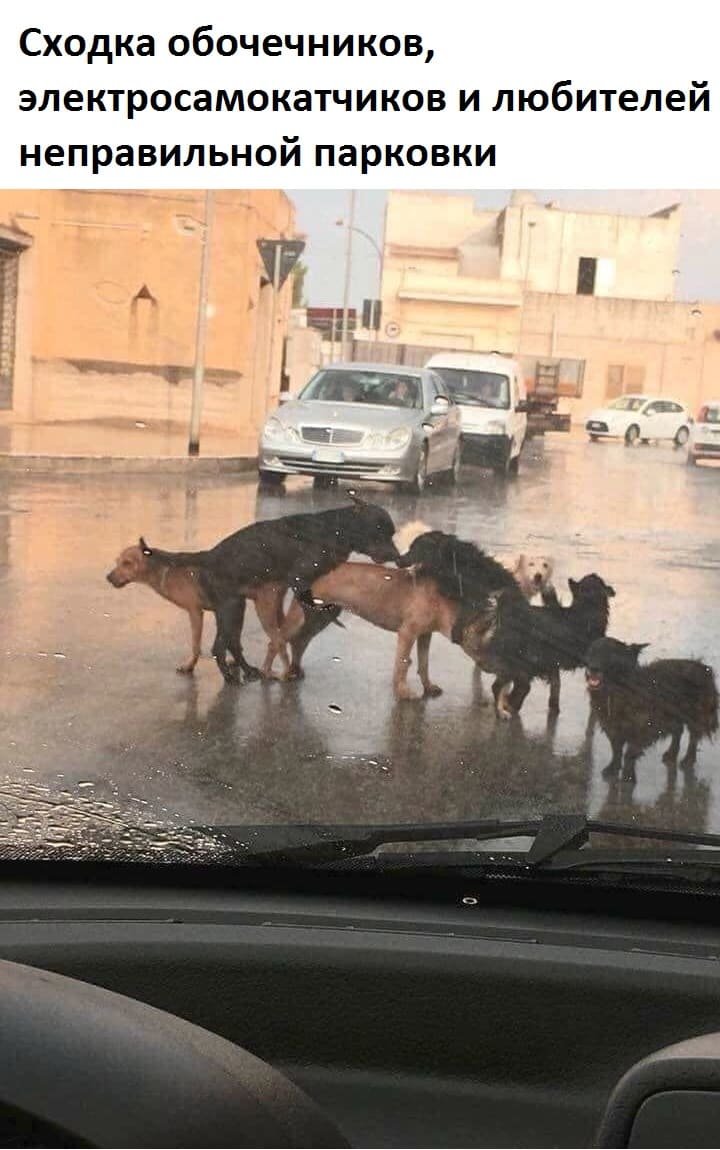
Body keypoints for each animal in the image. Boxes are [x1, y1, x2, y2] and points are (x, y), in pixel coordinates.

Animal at [106, 535, 286, 671]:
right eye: (117, 561)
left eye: (127, 563)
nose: (108, 577)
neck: (165, 569)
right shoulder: (230, 610)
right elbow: (233, 640)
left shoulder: (196, 612)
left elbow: (196, 644)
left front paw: (190, 666)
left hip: (264, 611)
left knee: (277, 641)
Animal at [142, 492, 395, 680]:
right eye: (381, 532)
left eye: (392, 534)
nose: (398, 556)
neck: (336, 530)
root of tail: (209, 555)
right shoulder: (299, 580)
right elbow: (309, 604)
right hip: (231, 608)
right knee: (221, 647)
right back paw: (232, 676)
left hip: (235, 608)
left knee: (232, 643)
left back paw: (246, 670)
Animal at [586, 639, 713, 782]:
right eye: (592, 652)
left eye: (610, 653)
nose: (593, 668)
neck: (616, 691)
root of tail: (702, 666)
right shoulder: (612, 728)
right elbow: (616, 751)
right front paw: (613, 768)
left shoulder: (640, 729)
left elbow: (629, 754)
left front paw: (628, 776)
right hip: (673, 714)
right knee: (678, 731)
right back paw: (671, 754)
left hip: (695, 715)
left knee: (693, 737)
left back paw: (688, 760)